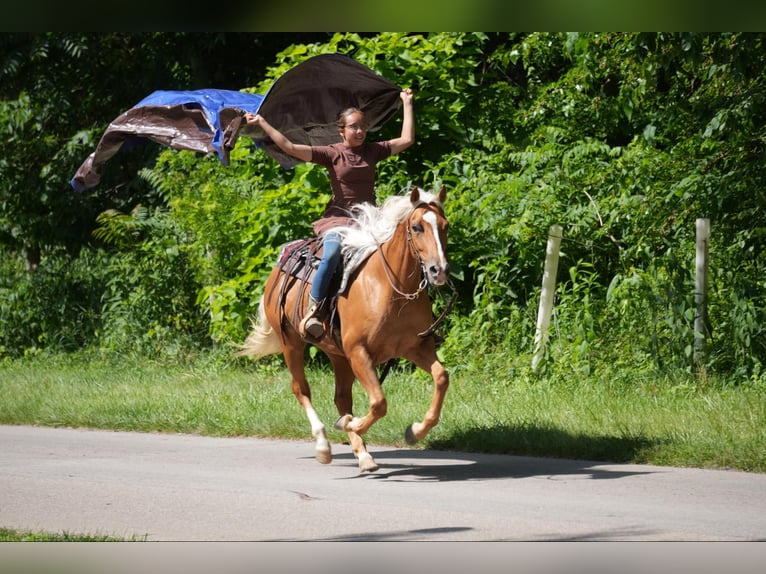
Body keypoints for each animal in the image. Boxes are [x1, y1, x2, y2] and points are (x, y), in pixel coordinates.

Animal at [236, 187, 450, 474]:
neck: (389, 288)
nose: (439, 270)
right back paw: (324, 446)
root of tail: (278, 269)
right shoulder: (359, 352)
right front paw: (348, 424)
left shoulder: (416, 347)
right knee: (301, 390)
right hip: (291, 343)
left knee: (341, 398)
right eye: (416, 227)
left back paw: (363, 454)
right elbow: (379, 403)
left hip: (337, 354)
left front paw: (414, 431)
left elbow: (441, 377)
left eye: (445, 226)